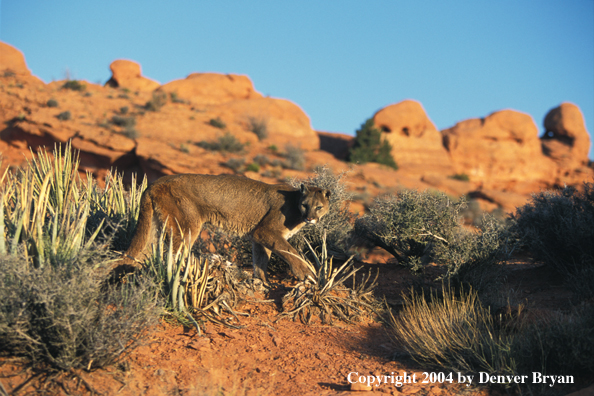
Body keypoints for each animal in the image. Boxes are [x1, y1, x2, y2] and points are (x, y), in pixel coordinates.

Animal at [122, 174, 330, 282]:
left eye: (319, 207)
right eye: (305, 205)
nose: (310, 218)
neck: (294, 203)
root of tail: (153, 183)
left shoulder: (259, 237)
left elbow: (261, 260)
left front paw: (262, 282)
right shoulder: (266, 231)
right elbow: (290, 251)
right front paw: (307, 273)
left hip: (155, 227)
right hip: (187, 226)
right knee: (172, 255)